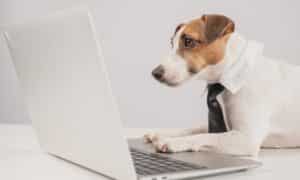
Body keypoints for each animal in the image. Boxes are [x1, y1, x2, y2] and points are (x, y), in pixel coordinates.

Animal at [144, 14, 300, 156]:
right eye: (172, 43)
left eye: (188, 41)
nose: (155, 73)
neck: (234, 71)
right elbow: (195, 129)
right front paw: (163, 133)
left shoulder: (246, 138)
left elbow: (207, 136)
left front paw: (173, 142)